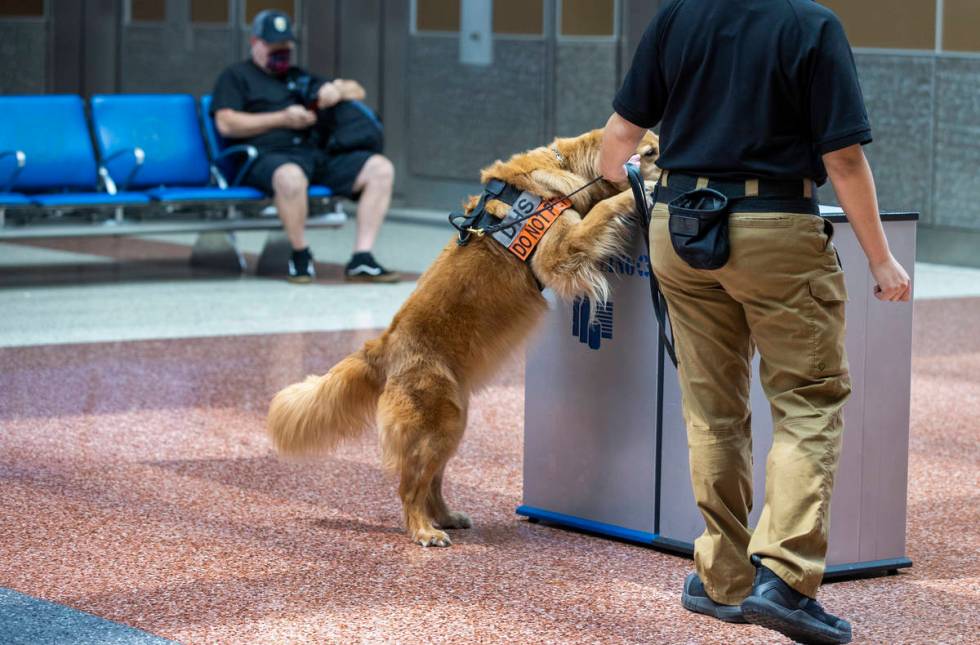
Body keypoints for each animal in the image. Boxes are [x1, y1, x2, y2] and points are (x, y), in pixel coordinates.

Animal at [268, 128, 660, 544]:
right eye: (651, 152)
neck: (564, 167)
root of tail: (384, 346)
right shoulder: (558, 252)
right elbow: (603, 210)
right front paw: (638, 191)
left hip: (451, 425)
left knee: (432, 483)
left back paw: (444, 517)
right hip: (439, 425)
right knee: (410, 487)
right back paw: (423, 530)